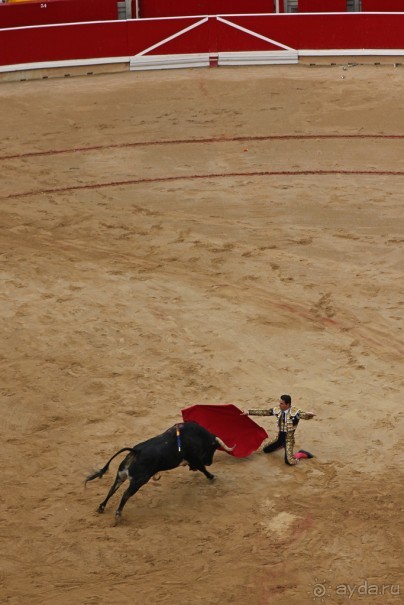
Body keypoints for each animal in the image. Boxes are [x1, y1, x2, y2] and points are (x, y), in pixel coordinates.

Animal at [87, 420, 235, 520]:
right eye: (213, 448)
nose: (209, 462)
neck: (196, 436)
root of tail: (136, 451)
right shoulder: (195, 459)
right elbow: (202, 469)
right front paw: (212, 477)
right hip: (138, 481)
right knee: (126, 494)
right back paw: (118, 514)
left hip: (121, 475)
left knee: (112, 490)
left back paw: (101, 507)